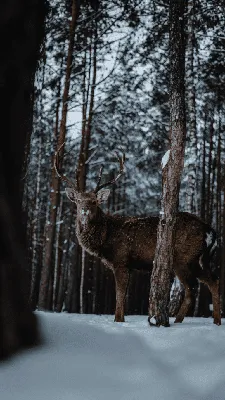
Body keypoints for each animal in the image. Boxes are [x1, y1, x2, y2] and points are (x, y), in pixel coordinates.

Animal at [55, 147, 221, 324]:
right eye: (78, 200)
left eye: (94, 201)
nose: (84, 210)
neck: (105, 239)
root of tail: (210, 230)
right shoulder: (129, 265)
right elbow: (123, 296)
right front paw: (121, 319)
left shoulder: (121, 260)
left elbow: (119, 295)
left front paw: (118, 320)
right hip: (198, 259)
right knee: (212, 280)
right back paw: (214, 321)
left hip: (184, 258)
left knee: (193, 287)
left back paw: (180, 321)